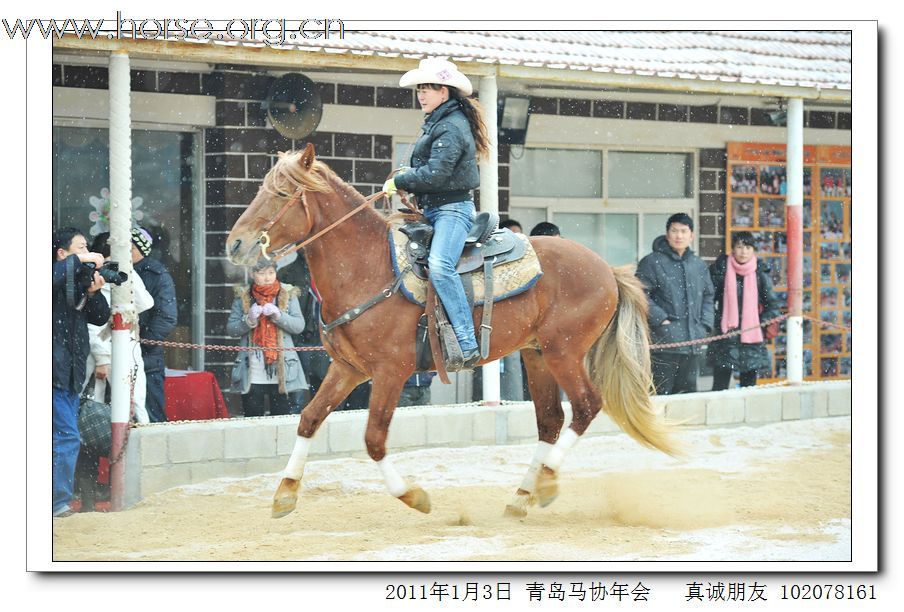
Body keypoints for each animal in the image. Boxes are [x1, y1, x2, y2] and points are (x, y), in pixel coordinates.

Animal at [226, 145, 680, 520]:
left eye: (282, 193)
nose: (235, 243)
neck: (368, 267)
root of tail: (608, 269)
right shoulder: (348, 368)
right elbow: (309, 419)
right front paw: (285, 493)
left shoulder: (391, 371)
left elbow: (374, 438)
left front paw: (413, 496)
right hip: (535, 354)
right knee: (550, 420)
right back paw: (521, 497)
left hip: (563, 351)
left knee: (586, 406)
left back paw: (547, 482)